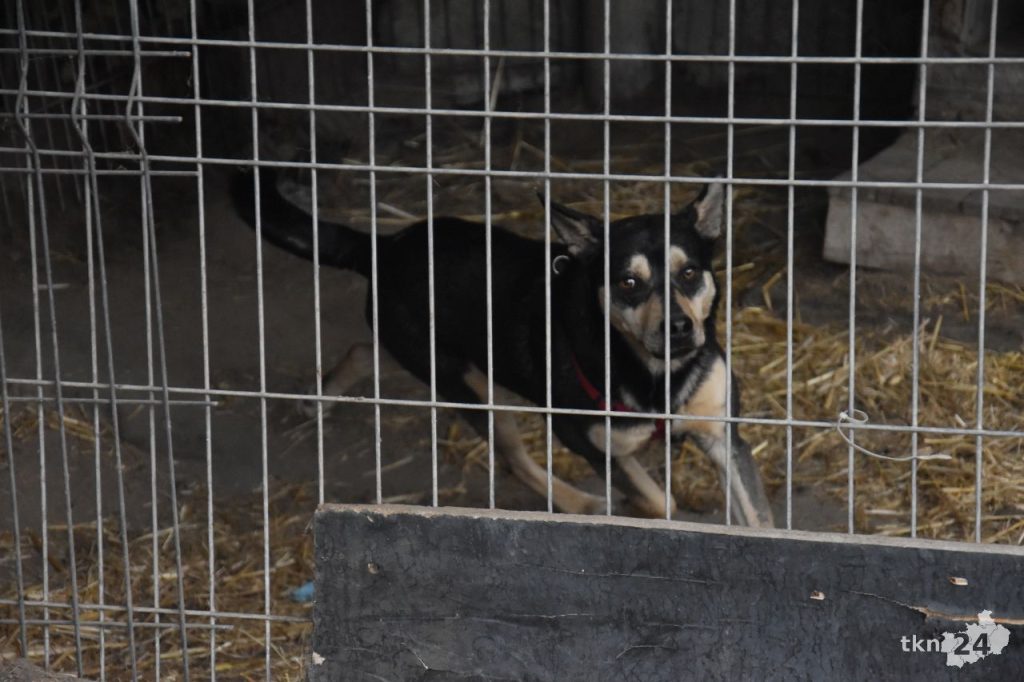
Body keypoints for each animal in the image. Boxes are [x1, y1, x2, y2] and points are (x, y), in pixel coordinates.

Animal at [233, 168, 774, 527]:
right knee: (513, 457)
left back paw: (320, 396)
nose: (680, 328)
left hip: (428, 353)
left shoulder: (724, 436)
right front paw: (632, 507)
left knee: (365, 350)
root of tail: (383, 247)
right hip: (467, 387)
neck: (658, 373)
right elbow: (659, 501)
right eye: (628, 283)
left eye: (690, 273)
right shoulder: (584, 439)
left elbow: (760, 520)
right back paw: (579, 503)